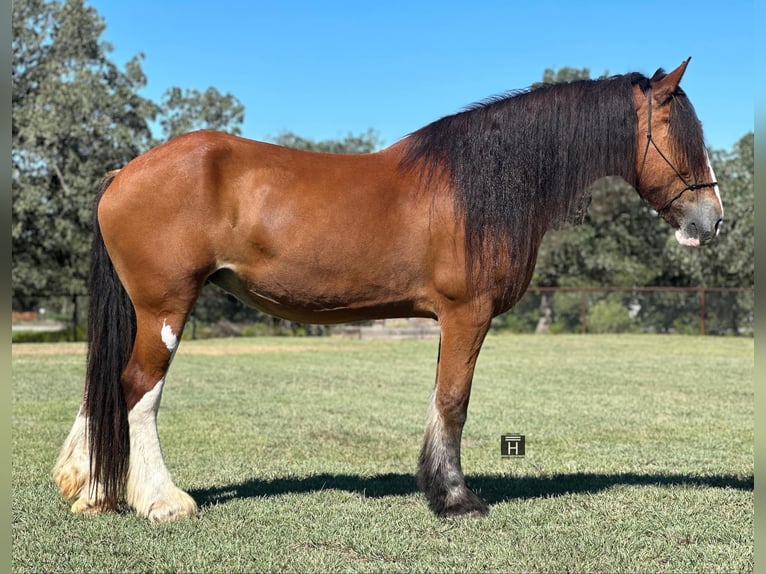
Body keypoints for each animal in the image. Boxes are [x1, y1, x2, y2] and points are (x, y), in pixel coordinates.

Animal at [53, 58, 722, 522]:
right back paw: (164, 501)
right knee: (138, 389)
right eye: (679, 132)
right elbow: (454, 401)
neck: (479, 186)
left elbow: (441, 400)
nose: (712, 220)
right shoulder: (467, 315)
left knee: (105, 388)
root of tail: (125, 172)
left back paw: (92, 490)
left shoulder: (449, 320)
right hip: (164, 308)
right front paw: (455, 498)